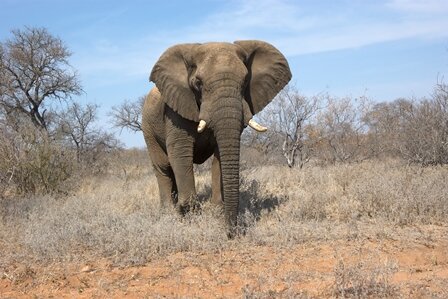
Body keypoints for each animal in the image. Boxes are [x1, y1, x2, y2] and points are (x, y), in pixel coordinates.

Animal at [142, 39, 292, 238]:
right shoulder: (175, 109)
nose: (231, 233)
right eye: (198, 82)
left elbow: (220, 156)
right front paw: (189, 216)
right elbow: (180, 154)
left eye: (246, 81)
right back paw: (168, 213)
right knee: (163, 167)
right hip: (147, 128)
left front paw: (216, 211)